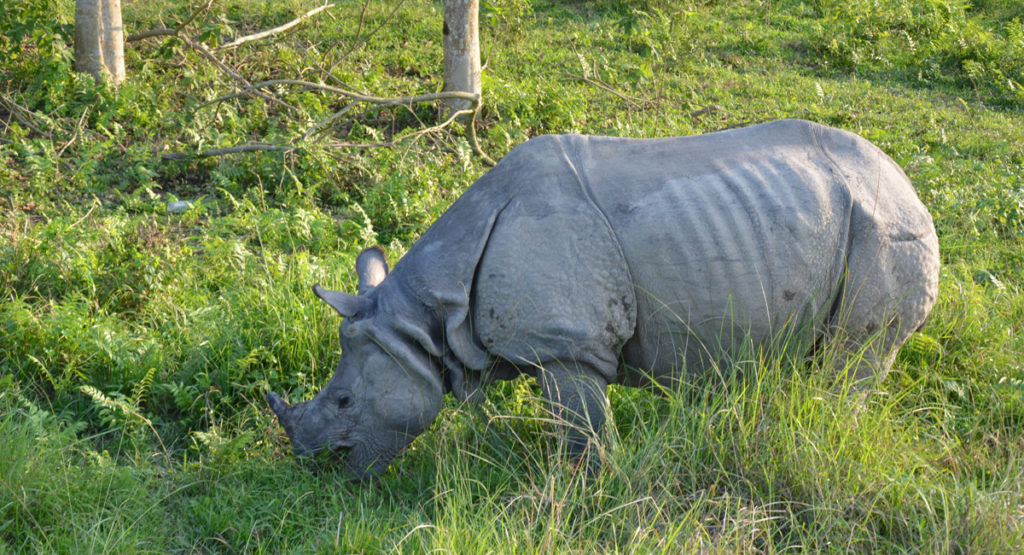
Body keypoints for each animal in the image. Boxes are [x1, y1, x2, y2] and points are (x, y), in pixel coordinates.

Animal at [267, 119, 940, 478]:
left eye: (346, 401)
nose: (314, 465)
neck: (426, 314)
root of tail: (910, 182)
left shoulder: (568, 347)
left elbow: (583, 433)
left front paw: (585, 492)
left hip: (885, 226)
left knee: (853, 356)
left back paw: (824, 429)